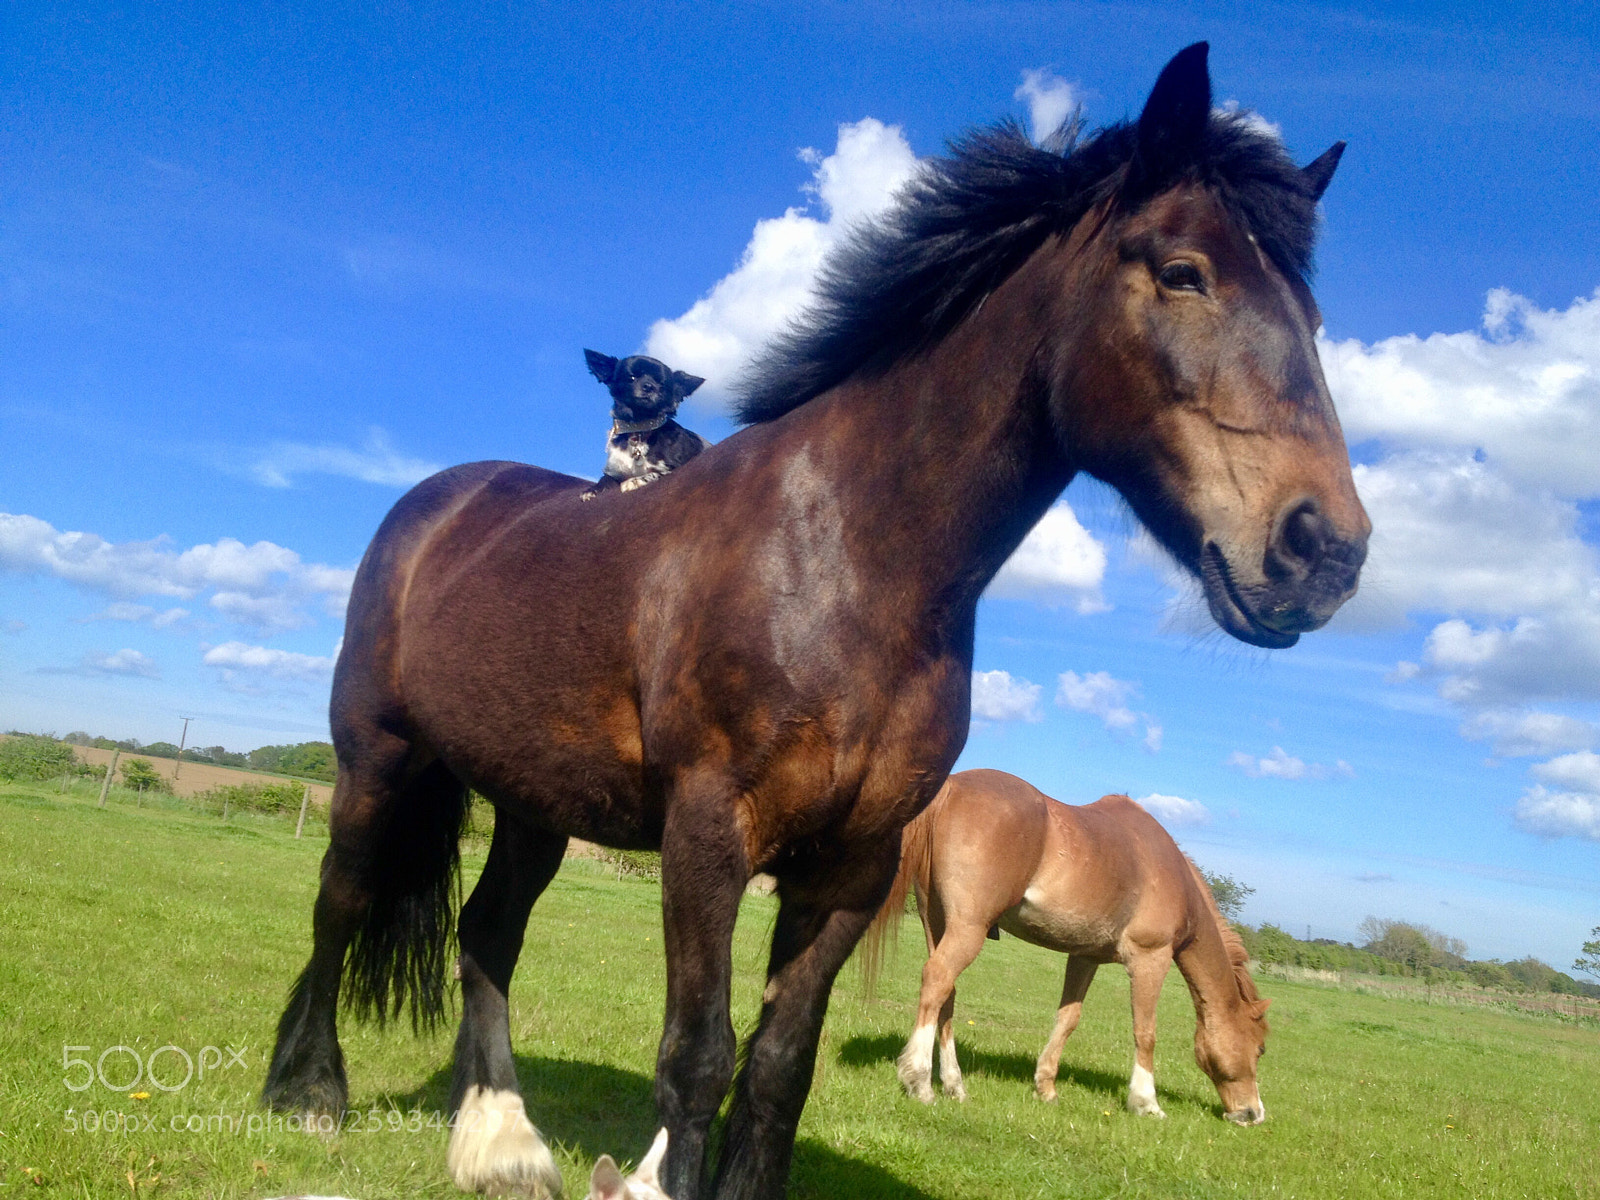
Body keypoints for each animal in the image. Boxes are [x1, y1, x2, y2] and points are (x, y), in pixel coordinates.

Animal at [866, 769, 1270, 1124]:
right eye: (1261, 1049)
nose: (1253, 1114)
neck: (1174, 877)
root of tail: (952, 787)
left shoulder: (1084, 956)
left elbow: (1067, 1019)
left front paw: (1046, 1087)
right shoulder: (1150, 958)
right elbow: (1145, 1032)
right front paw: (1146, 1103)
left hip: (937, 921)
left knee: (946, 995)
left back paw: (954, 1085)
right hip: (969, 928)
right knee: (937, 979)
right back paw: (919, 1081)